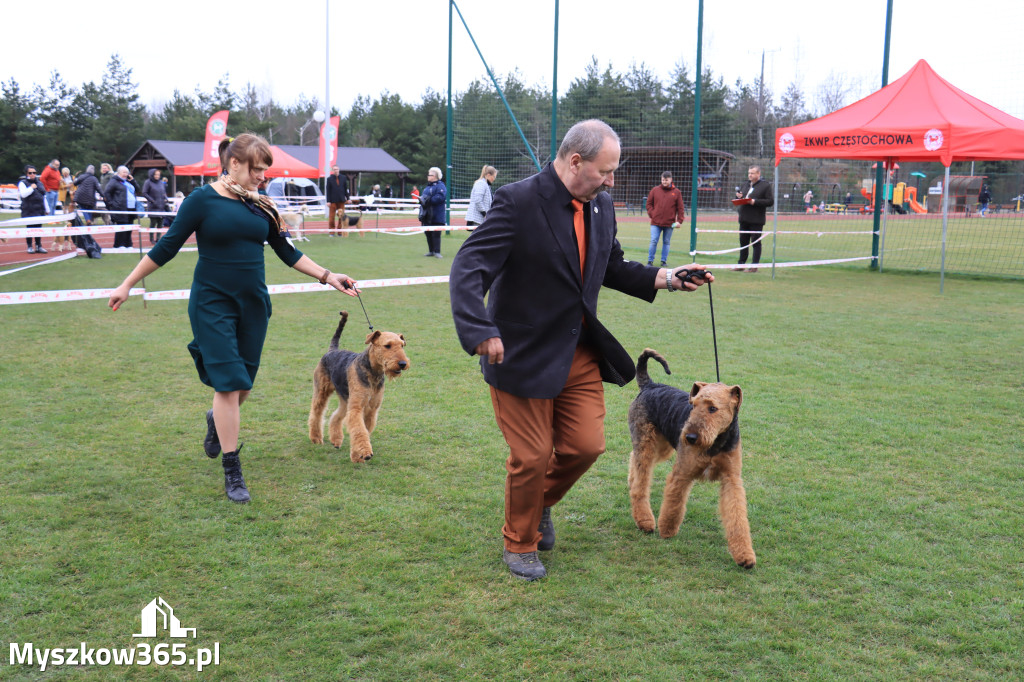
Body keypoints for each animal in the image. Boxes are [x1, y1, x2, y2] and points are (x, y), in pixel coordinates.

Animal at [307, 309, 407, 458]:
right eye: (387, 345)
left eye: (402, 345)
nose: (403, 363)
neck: (373, 372)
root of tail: (332, 350)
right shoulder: (357, 408)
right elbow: (359, 430)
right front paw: (364, 453)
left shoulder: (371, 408)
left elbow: (362, 430)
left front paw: (356, 454)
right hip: (322, 391)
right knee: (316, 413)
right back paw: (316, 438)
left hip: (345, 399)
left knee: (336, 416)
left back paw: (336, 440)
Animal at [618, 348, 757, 565]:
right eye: (693, 405)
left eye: (712, 408)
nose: (690, 437)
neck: (715, 442)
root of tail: (650, 385)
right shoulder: (682, 472)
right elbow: (673, 504)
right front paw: (667, 530)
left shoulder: (731, 478)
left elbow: (737, 517)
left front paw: (745, 556)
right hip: (647, 444)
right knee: (642, 481)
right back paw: (645, 521)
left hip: (662, 446)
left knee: (634, 459)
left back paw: (631, 483)